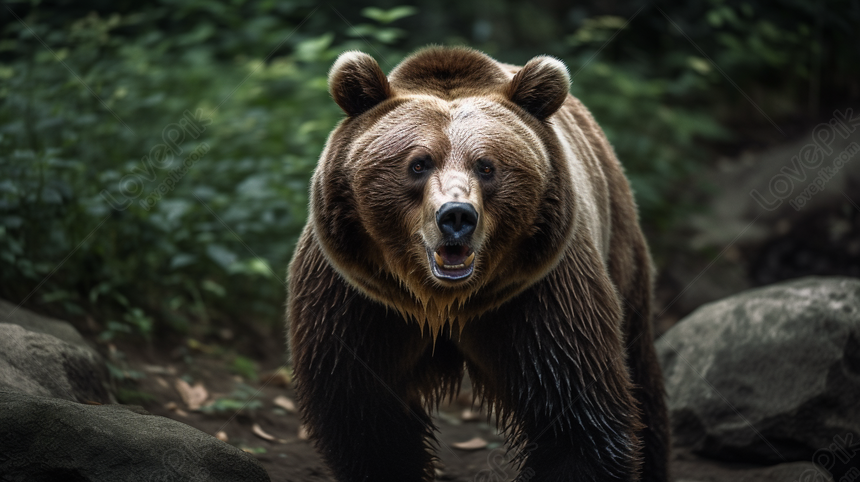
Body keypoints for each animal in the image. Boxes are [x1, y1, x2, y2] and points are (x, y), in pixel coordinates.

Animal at [288, 46, 672, 482]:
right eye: (418, 163)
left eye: (486, 166)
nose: (456, 216)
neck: (443, 301)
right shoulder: (360, 300)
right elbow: (363, 416)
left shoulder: (540, 295)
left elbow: (578, 415)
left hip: (619, 241)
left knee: (639, 362)